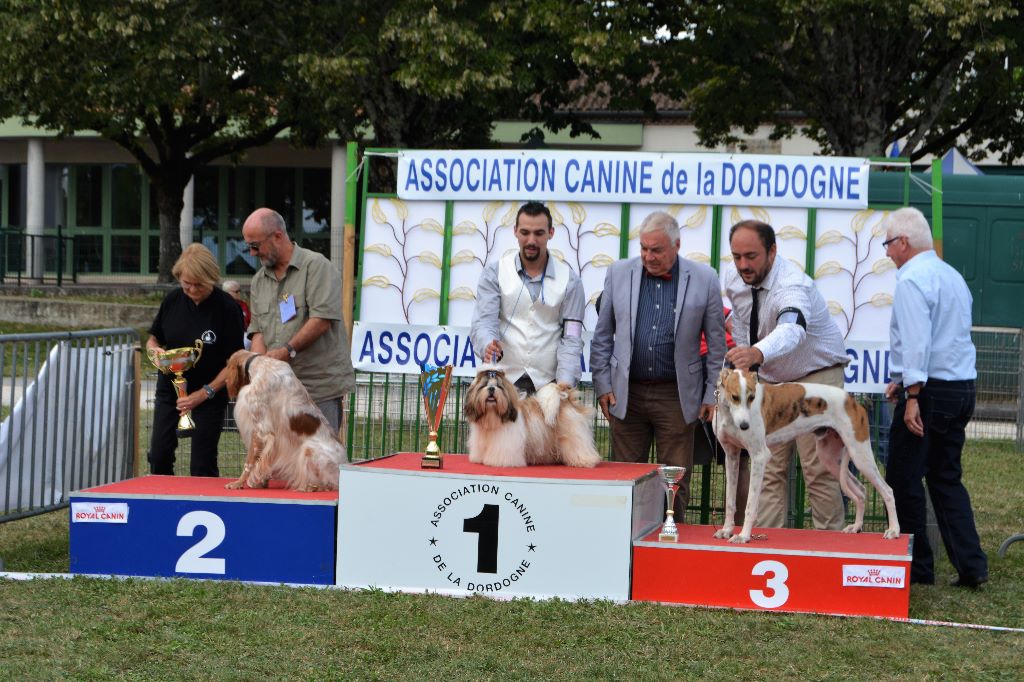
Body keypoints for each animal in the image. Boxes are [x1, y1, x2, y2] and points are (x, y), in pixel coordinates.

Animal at [223, 350, 344, 491]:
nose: (225, 381)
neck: (261, 364)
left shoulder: (261, 430)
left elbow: (250, 462)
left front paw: (238, 483)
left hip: (309, 450)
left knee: (330, 484)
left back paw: (310, 486)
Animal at [463, 368, 602, 468]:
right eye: (483, 386)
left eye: (499, 387)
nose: (492, 389)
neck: (492, 415)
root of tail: (566, 400)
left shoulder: (506, 443)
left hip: (573, 435)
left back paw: (585, 461)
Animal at [712, 367, 899, 543]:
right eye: (735, 397)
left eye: (751, 397)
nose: (745, 426)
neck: (729, 414)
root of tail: (853, 401)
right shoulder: (731, 456)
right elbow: (730, 501)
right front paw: (727, 530)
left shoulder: (759, 456)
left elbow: (750, 505)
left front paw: (743, 536)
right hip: (830, 458)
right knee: (860, 490)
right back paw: (857, 526)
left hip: (860, 454)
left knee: (888, 490)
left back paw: (894, 530)